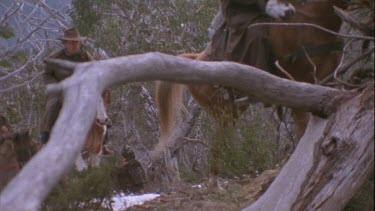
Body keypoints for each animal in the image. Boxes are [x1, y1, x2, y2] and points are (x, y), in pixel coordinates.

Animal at [155, 0, 346, 191]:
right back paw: (214, 184)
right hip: (225, 112)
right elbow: (304, 130)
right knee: (218, 142)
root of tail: (195, 60)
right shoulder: (298, 86)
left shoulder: (327, 83)